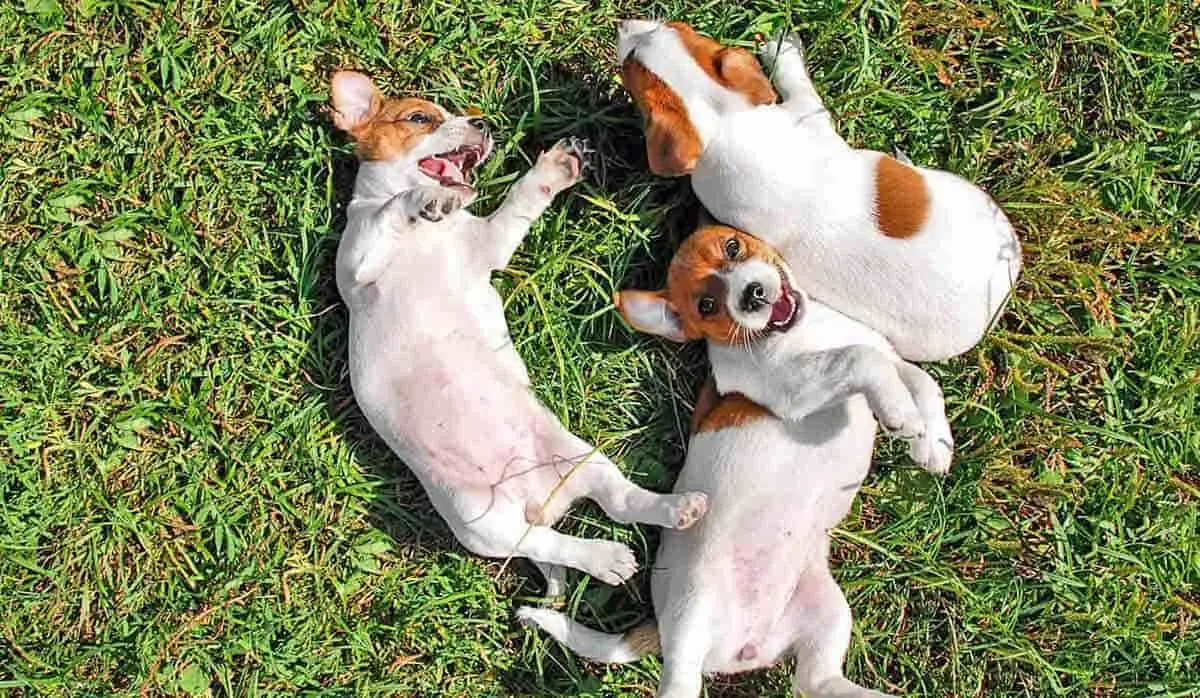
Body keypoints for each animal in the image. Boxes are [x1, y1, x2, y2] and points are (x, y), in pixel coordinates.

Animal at [328, 72, 705, 597]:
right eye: (420, 118)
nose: (482, 123)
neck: (431, 236)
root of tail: (536, 501)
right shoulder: (358, 262)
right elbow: (390, 211)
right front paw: (423, 200)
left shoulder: (486, 245)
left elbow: (519, 203)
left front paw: (556, 168)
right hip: (483, 525)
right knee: (550, 543)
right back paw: (607, 558)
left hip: (583, 459)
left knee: (620, 503)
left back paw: (677, 509)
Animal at [520, 225, 950, 698]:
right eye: (707, 306)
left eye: (733, 247)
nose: (753, 295)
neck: (801, 333)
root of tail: (746, 646)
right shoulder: (796, 389)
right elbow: (860, 358)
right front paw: (900, 414)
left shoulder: (884, 355)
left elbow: (919, 378)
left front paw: (933, 442)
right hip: (691, 620)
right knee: (682, 683)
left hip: (828, 610)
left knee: (816, 680)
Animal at [619, 19, 1022, 364]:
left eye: (672, 27)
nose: (622, 24)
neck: (723, 121)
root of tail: (1002, 289)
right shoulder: (807, 113)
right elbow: (798, 82)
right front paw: (783, 51)